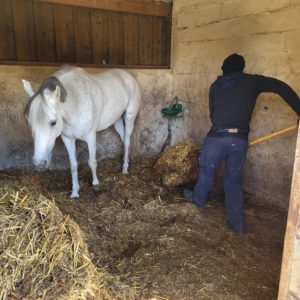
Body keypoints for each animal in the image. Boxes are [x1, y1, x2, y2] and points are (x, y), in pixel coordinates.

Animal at [22, 66, 141, 198]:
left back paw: (124, 169)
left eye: (53, 122)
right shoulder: (68, 139)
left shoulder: (91, 137)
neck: (75, 104)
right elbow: (73, 165)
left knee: (127, 141)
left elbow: (92, 161)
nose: (39, 163)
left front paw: (95, 183)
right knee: (123, 138)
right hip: (117, 120)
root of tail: (127, 75)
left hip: (129, 116)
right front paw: (75, 192)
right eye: (29, 122)